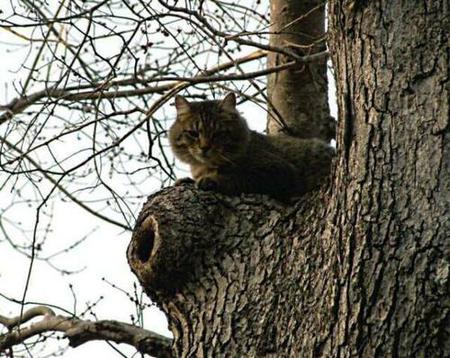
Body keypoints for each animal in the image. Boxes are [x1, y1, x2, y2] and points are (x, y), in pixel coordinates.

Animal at [169, 93, 334, 199]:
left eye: (218, 133)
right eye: (193, 133)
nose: (204, 147)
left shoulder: (277, 170)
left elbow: (237, 177)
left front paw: (211, 180)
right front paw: (186, 180)